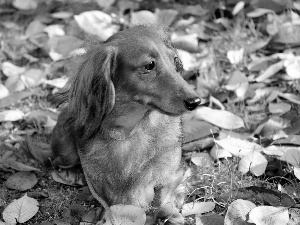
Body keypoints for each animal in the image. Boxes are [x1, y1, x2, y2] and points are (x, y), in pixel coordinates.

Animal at [51, 25, 202, 224]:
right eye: (149, 65)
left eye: (175, 60)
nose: (195, 101)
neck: (132, 130)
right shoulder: (98, 181)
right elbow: (108, 201)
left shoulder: (168, 175)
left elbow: (161, 198)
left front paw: (168, 212)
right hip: (65, 149)